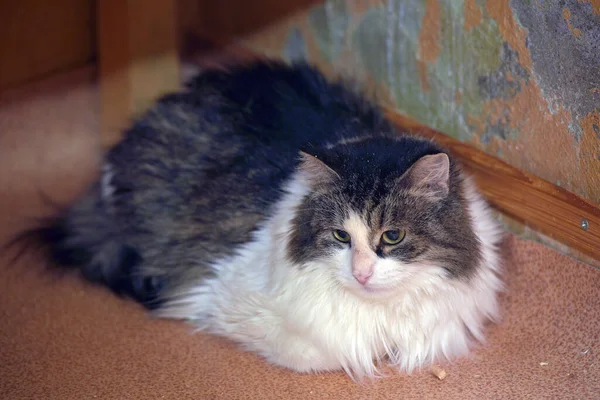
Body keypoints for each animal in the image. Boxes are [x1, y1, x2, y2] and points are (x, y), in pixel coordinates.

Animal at [15, 58, 502, 378]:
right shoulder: (223, 296)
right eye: (340, 236)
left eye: (393, 236)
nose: (362, 273)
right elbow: (327, 352)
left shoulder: (444, 325)